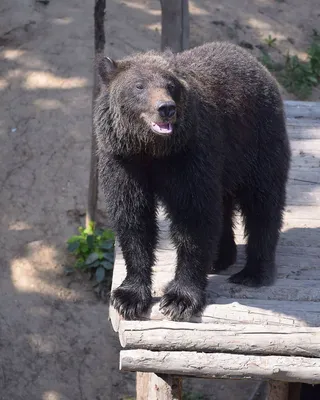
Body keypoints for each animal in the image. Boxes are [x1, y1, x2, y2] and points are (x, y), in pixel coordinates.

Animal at [94, 40, 292, 322]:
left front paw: (179, 299)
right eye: (139, 85)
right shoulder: (123, 162)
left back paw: (253, 272)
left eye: (170, 85)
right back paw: (221, 257)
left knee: (262, 204)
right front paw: (129, 297)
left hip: (256, 143)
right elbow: (133, 219)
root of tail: (255, 62)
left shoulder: (188, 158)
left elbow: (194, 219)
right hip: (227, 163)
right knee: (225, 206)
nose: (166, 108)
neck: (152, 151)